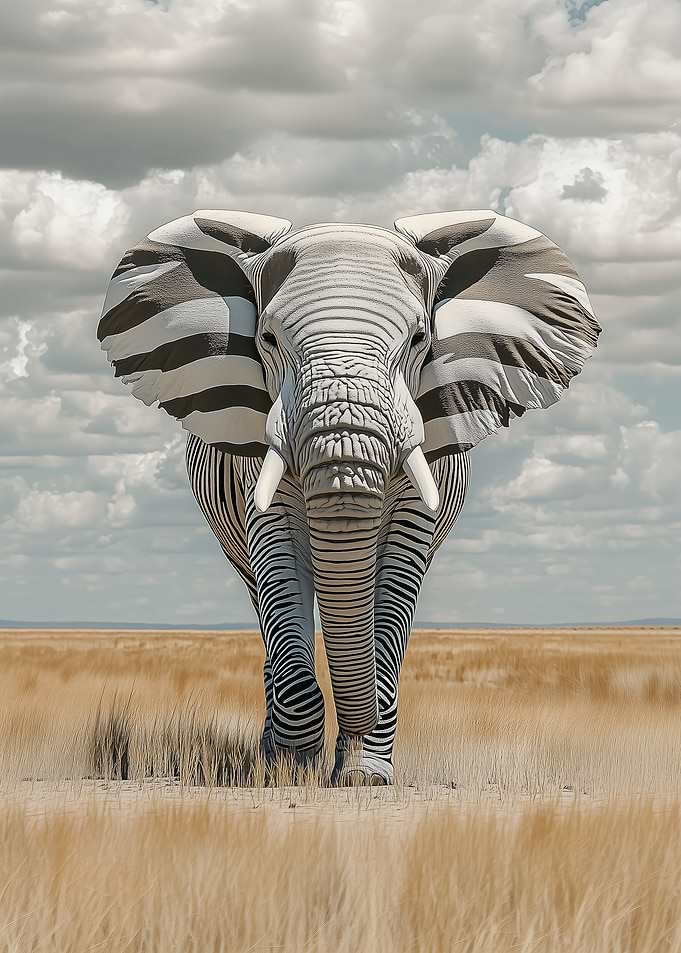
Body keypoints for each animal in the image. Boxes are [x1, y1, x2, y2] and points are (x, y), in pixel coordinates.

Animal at [97, 208, 601, 784]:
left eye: (420, 338)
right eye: (267, 339)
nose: (353, 741)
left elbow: (396, 584)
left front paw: (363, 775)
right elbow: (279, 568)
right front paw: (290, 768)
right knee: (263, 603)